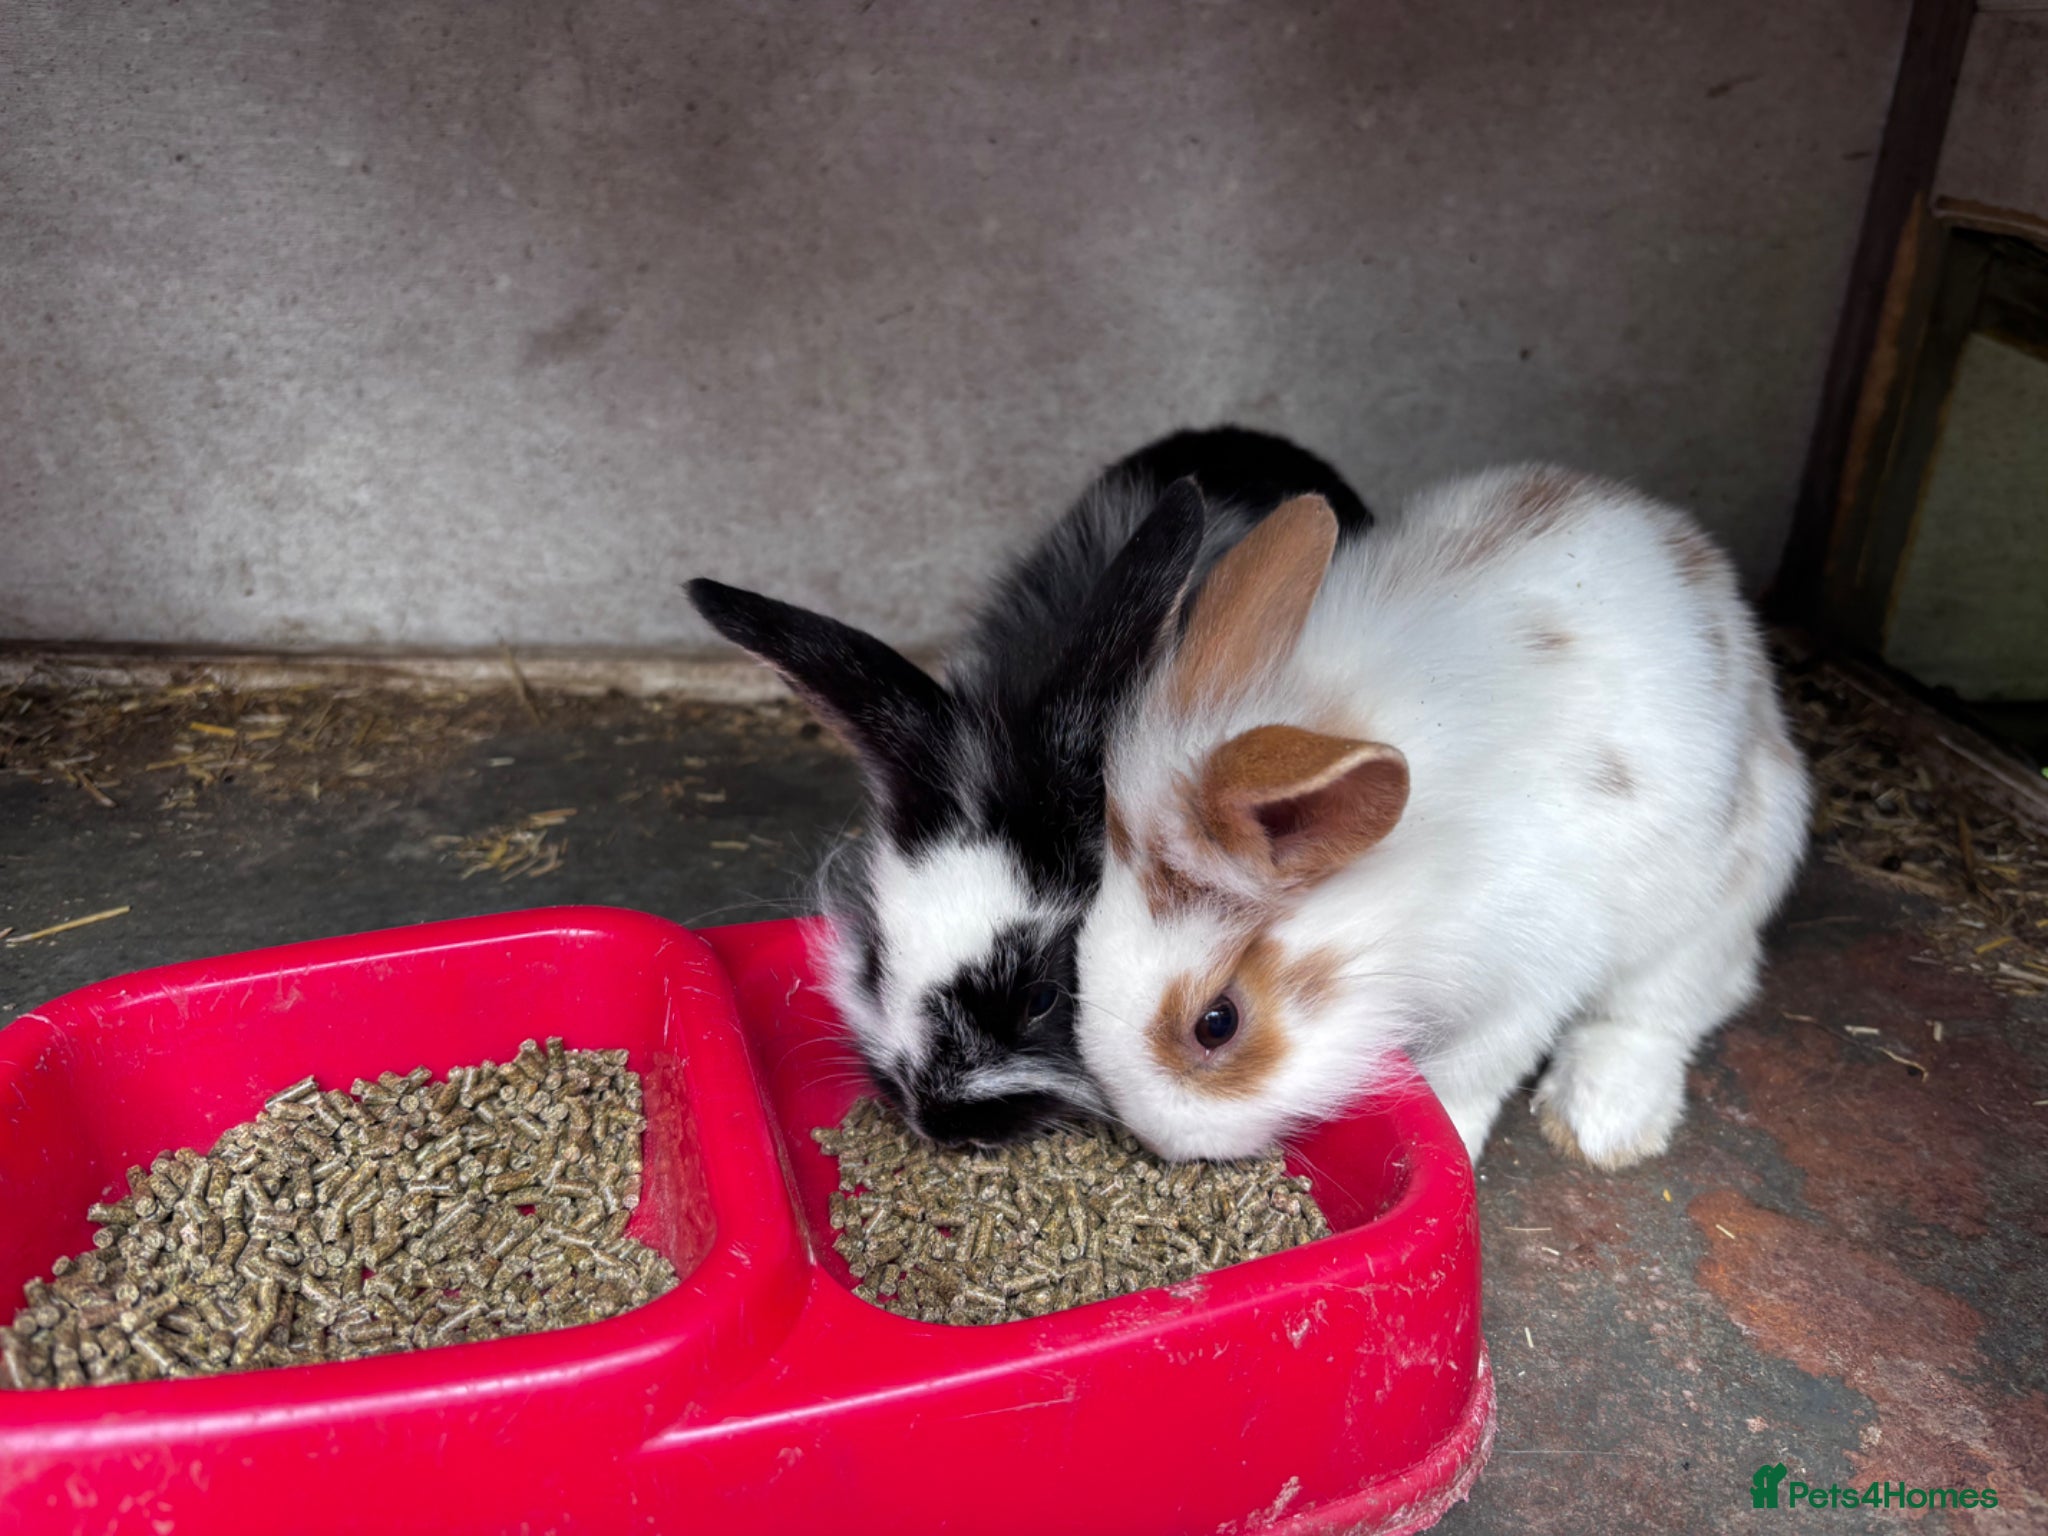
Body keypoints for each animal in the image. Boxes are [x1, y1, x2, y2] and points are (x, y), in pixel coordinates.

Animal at [1072, 464, 1811, 1169]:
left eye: (1217, 1022)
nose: (1161, 1140)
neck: (1405, 893)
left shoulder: (1529, 976)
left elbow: (1472, 1071)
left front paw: (1455, 1132)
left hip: (1713, 907)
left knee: (1667, 1010)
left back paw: (1601, 1127)